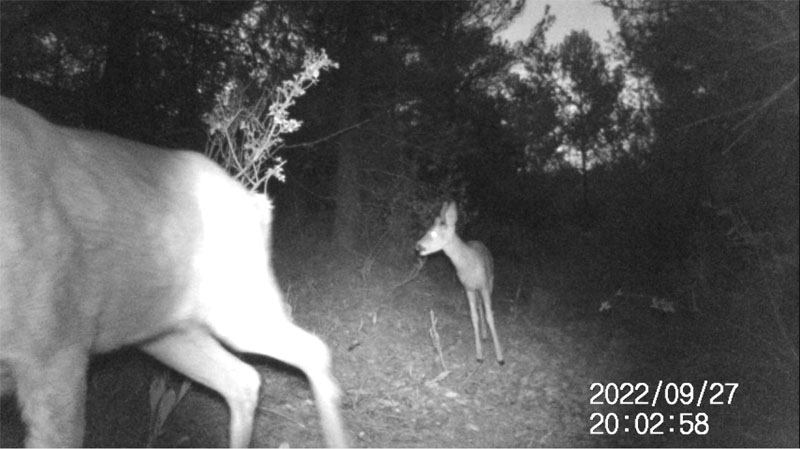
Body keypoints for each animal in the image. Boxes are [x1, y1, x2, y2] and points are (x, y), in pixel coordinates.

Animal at [0, 96, 350, 446]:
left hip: (236, 306)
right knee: (243, 379)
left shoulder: (59, 345)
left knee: (312, 350)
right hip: (166, 328)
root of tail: (256, 203)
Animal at [416, 201, 504, 362]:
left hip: (490, 281)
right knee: (479, 307)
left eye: (433, 233)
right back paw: (484, 335)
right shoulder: (468, 287)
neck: (467, 264)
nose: (418, 246)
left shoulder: (484, 285)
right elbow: (474, 317)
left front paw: (500, 357)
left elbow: (490, 315)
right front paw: (479, 355)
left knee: (484, 307)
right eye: (427, 230)